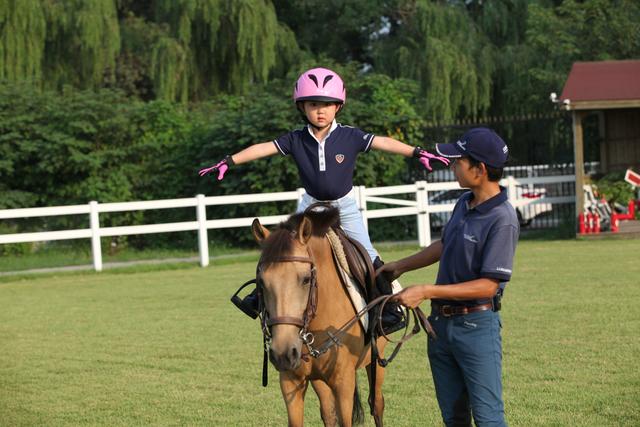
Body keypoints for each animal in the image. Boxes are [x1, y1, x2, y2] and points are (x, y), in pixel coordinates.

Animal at [251, 206, 388, 426]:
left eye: (306, 279)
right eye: (261, 283)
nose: (282, 353)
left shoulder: (343, 383)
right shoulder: (290, 381)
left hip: (376, 360)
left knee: (376, 404)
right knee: (328, 412)